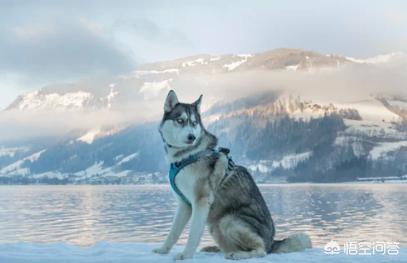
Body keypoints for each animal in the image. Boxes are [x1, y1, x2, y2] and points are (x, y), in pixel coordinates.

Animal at [153, 92, 312, 260]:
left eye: (194, 123)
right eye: (180, 120)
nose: (192, 137)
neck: (187, 155)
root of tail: (272, 242)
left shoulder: (201, 201)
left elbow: (193, 234)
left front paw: (186, 255)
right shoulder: (184, 204)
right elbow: (173, 232)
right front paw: (163, 250)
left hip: (227, 220)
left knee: (261, 251)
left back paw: (239, 255)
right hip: (215, 226)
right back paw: (220, 250)